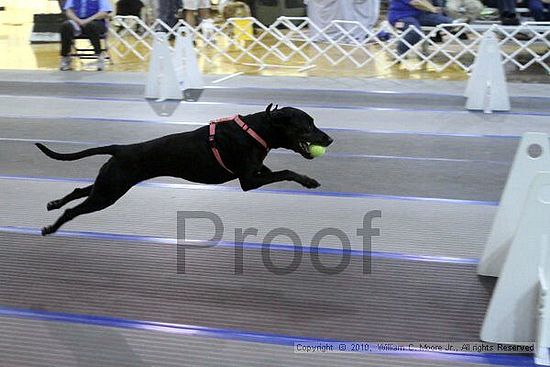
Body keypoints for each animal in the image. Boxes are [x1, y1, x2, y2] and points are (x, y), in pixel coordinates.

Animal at [37, 104, 336, 236]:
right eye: (307, 125)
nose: (330, 139)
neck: (257, 130)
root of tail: (121, 148)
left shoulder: (258, 171)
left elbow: (278, 169)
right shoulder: (249, 180)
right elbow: (286, 171)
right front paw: (308, 181)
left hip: (109, 183)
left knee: (79, 190)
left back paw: (53, 203)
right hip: (109, 192)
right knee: (74, 210)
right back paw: (51, 227)